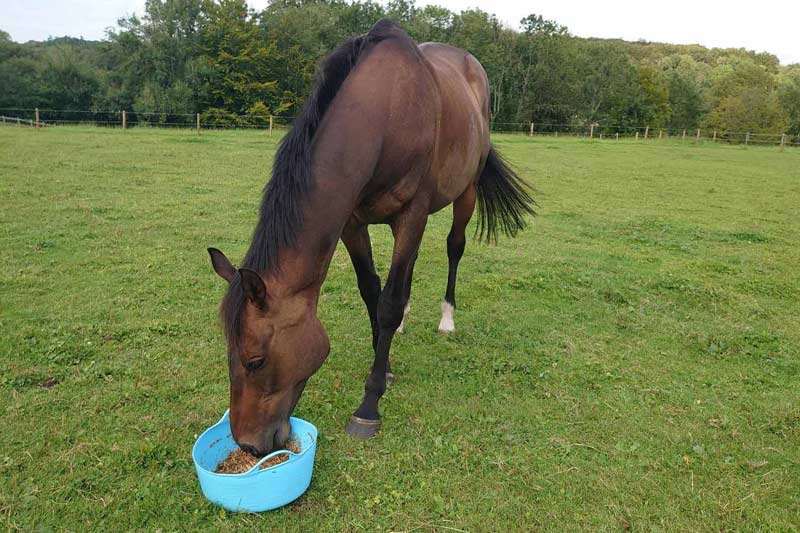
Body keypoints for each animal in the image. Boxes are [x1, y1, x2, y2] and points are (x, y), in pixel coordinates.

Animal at [208, 19, 532, 454]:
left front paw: (370, 403)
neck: (385, 114)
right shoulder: (352, 222)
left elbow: (388, 302)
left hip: (465, 193)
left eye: (255, 361)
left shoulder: (412, 214)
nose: (248, 445)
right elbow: (371, 291)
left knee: (454, 248)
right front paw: (386, 359)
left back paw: (447, 318)